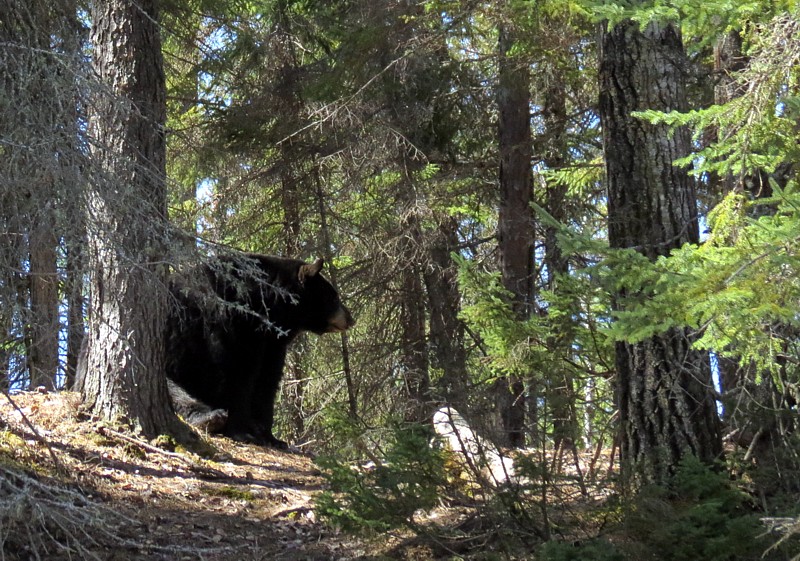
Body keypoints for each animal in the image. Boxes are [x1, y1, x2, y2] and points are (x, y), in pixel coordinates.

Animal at [166, 252, 354, 448]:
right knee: (176, 392)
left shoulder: (271, 345)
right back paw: (209, 418)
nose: (350, 319)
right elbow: (236, 375)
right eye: (334, 297)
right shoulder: (229, 326)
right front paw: (242, 432)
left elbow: (266, 381)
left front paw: (271, 436)